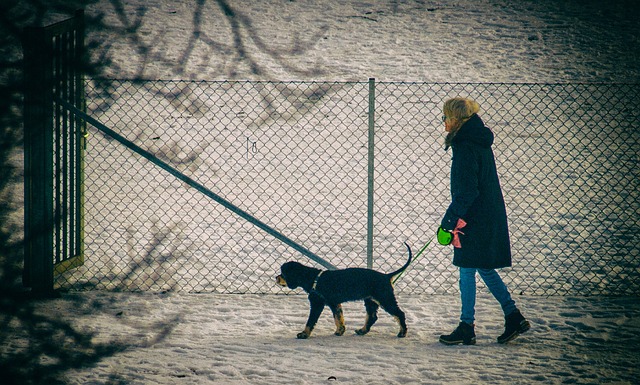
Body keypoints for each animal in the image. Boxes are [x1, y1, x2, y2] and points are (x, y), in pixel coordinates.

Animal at [278, 242, 412, 338]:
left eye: (283, 274)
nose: (276, 278)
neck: (314, 279)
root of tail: (386, 276)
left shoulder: (317, 304)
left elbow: (311, 321)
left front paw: (304, 334)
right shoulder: (334, 303)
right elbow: (339, 318)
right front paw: (340, 331)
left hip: (385, 298)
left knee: (400, 313)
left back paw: (402, 333)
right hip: (370, 300)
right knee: (372, 316)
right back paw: (362, 331)